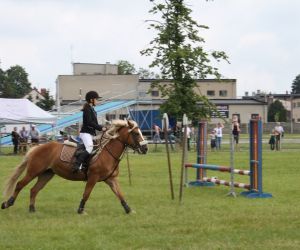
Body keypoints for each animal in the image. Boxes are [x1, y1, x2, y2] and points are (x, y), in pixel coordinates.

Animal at [1, 120, 148, 214]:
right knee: (20, 184)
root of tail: (37, 147)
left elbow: (120, 194)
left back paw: (32, 209)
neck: (107, 153)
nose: (145, 148)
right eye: (136, 134)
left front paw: (128, 210)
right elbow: (86, 194)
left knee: (34, 190)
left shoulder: (111, 179)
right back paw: (7, 203)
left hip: (46, 174)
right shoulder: (93, 178)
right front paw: (80, 210)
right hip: (33, 171)